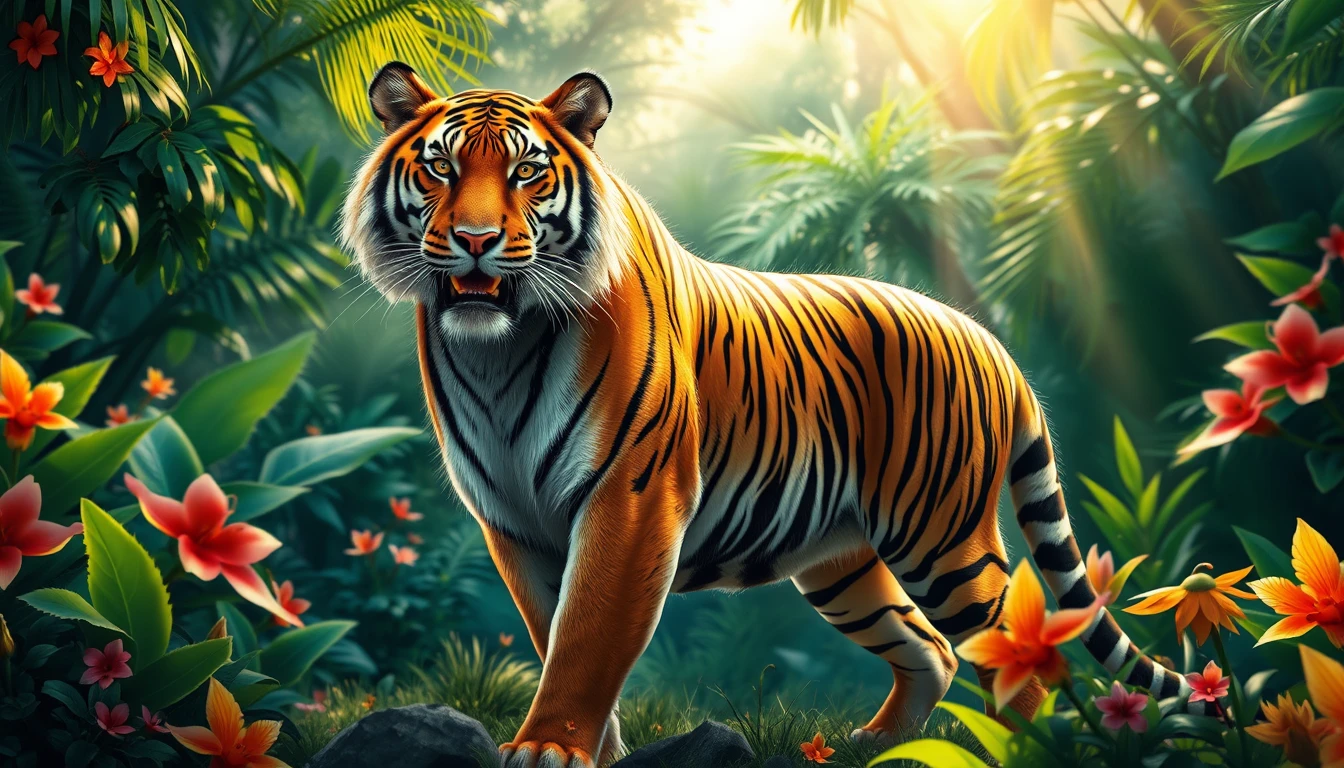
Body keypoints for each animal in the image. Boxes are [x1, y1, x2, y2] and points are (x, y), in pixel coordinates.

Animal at [340, 63, 1191, 768]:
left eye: (527, 171)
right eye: (442, 166)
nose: (475, 240)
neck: (498, 353)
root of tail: (991, 343)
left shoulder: (630, 501)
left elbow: (586, 637)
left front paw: (551, 748)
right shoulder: (513, 522)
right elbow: (552, 633)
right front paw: (596, 751)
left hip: (942, 542)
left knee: (1015, 657)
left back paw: (1012, 750)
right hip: (840, 561)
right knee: (931, 649)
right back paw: (874, 747)